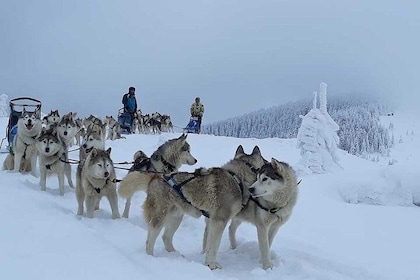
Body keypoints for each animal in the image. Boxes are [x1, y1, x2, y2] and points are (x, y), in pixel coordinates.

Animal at [120, 145, 266, 268]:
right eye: (264, 162)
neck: (237, 178)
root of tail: (155, 177)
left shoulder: (211, 221)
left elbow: (208, 244)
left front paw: (206, 260)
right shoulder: (219, 221)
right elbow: (214, 246)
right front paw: (212, 264)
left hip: (176, 218)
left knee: (165, 237)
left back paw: (176, 255)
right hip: (160, 217)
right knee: (150, 240)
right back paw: (150, 258)